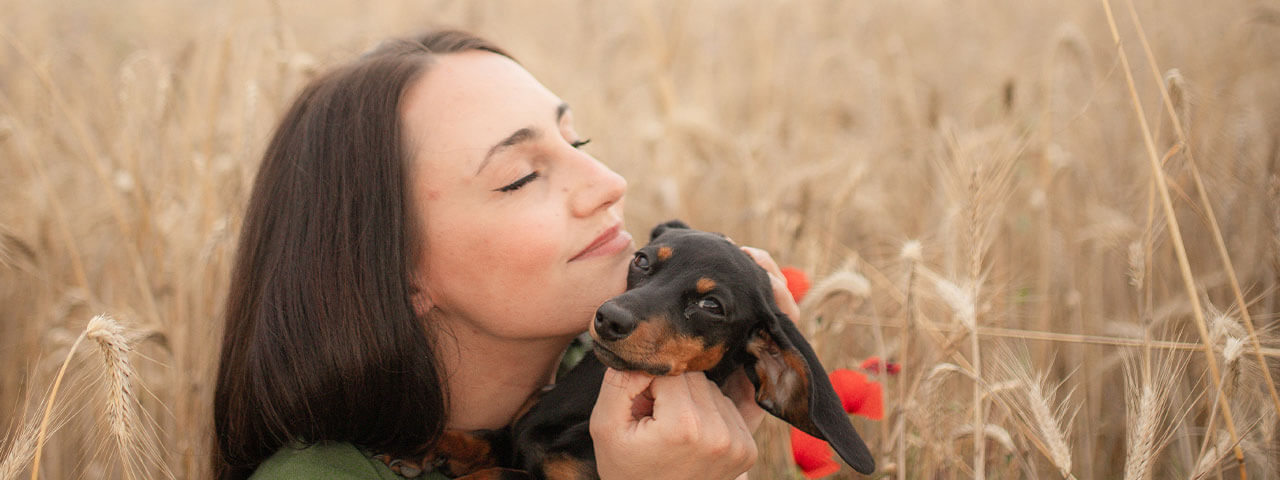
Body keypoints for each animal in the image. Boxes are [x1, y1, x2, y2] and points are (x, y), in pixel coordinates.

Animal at [384, 221, 875, 480]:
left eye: (711, 306)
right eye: (642, 260)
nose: (608, 317)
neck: (581, 398)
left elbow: (500, 474)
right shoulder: (515, 431)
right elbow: (483, 437)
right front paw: (425, 445)